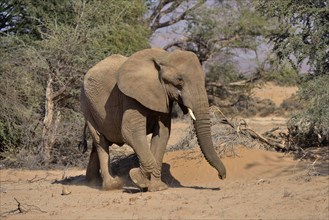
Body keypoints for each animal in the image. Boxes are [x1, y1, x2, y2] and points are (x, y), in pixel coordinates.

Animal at [80, 47, 227, 191]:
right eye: (180, 80)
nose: (221, 176)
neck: (163, 57)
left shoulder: (163, 97)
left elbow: (162, 134)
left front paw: (157, 187)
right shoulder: (131, 97)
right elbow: (131, 132)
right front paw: (137, 179)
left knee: (97, 143)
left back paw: (92, 182)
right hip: (87, 106)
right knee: (100, 141)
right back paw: (112, 185)